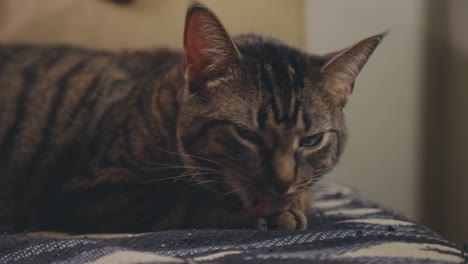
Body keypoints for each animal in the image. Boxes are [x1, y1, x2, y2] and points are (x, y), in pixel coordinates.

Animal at [0, 2, 384, 233]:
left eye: (311, 140)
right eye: (247, 135)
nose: (283, 182)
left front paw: (296, 200)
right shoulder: (88, 193)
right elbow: (182, 201)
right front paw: (277, 211)